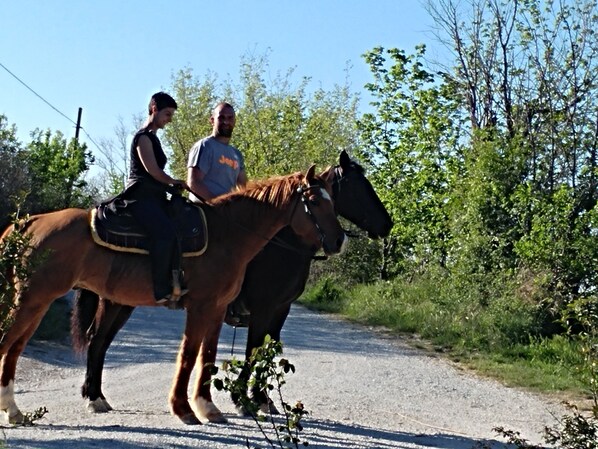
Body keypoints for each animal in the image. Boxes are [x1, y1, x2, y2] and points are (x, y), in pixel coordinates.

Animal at [0, 165, 346, 424]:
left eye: (334, 200)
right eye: (315, 201)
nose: (339, 239)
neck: (228, 234)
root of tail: (29, 223)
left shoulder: (218, 309)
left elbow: (208, 356)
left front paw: (208, 407)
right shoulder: (207, 307)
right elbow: (190, 355)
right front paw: (184, 409)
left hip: (50, 301)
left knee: (26, 347)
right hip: (35, 299)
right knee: (11, 342)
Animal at [70, 150, 394, 416]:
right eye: (357, 186)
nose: (387, 224)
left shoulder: (280, 310)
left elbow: (265, 351)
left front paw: (260, 398)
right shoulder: (262, 309)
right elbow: (253, 351)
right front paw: (245, 399)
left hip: (123, 302)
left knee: (101, 341)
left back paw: (94, 394)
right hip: (113, 301)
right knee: (97, 339)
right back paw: (94, 398)